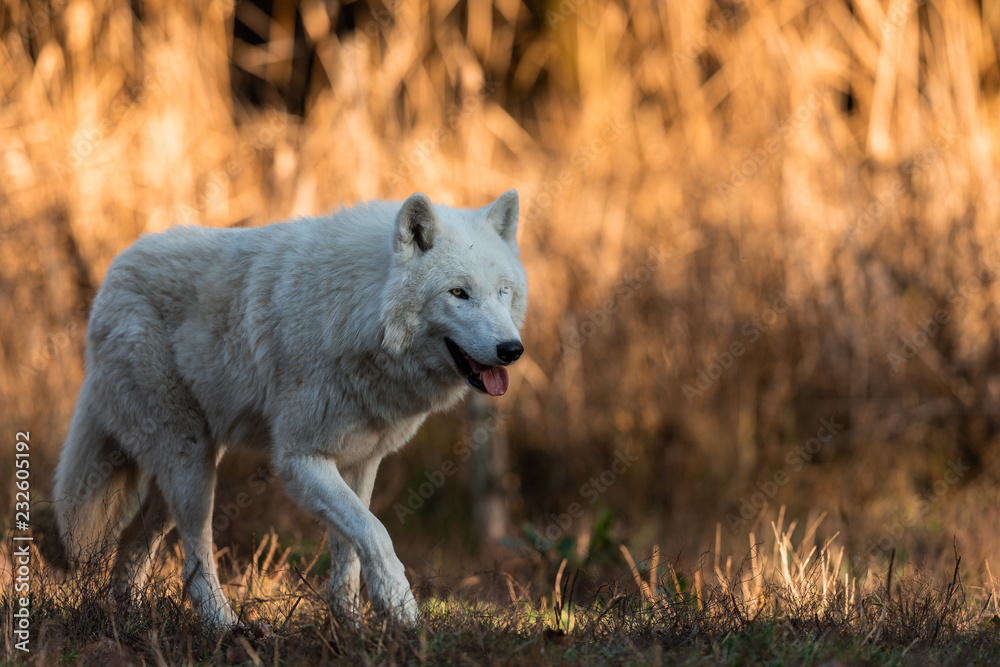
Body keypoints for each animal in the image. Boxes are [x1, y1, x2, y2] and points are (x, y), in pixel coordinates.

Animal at [52, 191, 527, 627]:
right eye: (458, 293)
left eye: (503, 292)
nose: (512, 350)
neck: (358, 310)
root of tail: (112, 276)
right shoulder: (299, 459)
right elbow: (375, 533)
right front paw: (402, 612)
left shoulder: (360, 461)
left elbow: (349, 553)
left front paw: (352, 629)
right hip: (191, 464)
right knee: (195, 556)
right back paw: (226, 628)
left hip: (177, 478)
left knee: (134, 546)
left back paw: (128, 621)